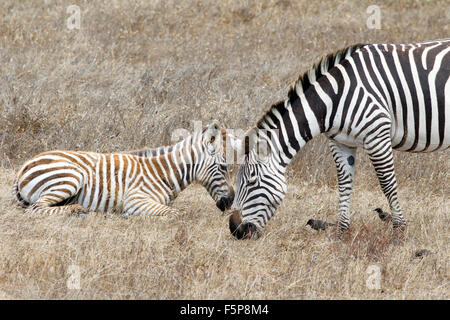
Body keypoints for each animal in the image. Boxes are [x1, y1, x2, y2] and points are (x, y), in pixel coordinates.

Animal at [12, 122, 234, 218]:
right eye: (223, 166)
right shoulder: (136, 199)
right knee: (35, 209)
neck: (163, 172)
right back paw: (77, 210)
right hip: (69, 178)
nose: (231, 201)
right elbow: (178, 213)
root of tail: (22, 168)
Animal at [230, 39, 448, 240]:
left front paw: (399, 231)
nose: (235, 230)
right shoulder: (341, 142)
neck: (333, 98)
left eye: (251, 182)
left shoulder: (377, 135)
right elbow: (344, 184)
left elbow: (387, 184)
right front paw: (339, 232)